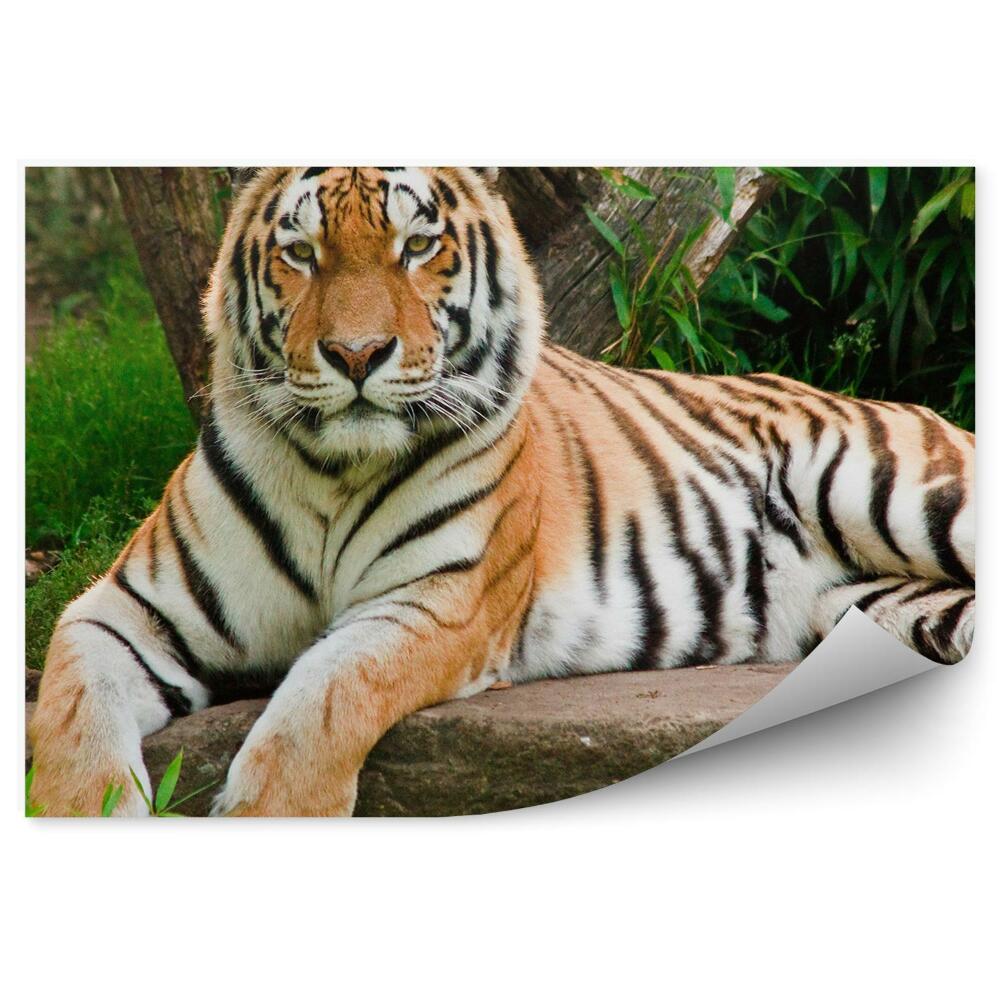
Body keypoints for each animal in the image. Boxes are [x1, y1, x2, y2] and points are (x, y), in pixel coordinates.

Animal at [29, 167, 975, 817]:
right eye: (302, 254)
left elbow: (320, 702)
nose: (357, 355)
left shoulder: (438, 603)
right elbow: (71, 721)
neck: (332, 469)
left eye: (417, 247)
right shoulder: (125, 609)